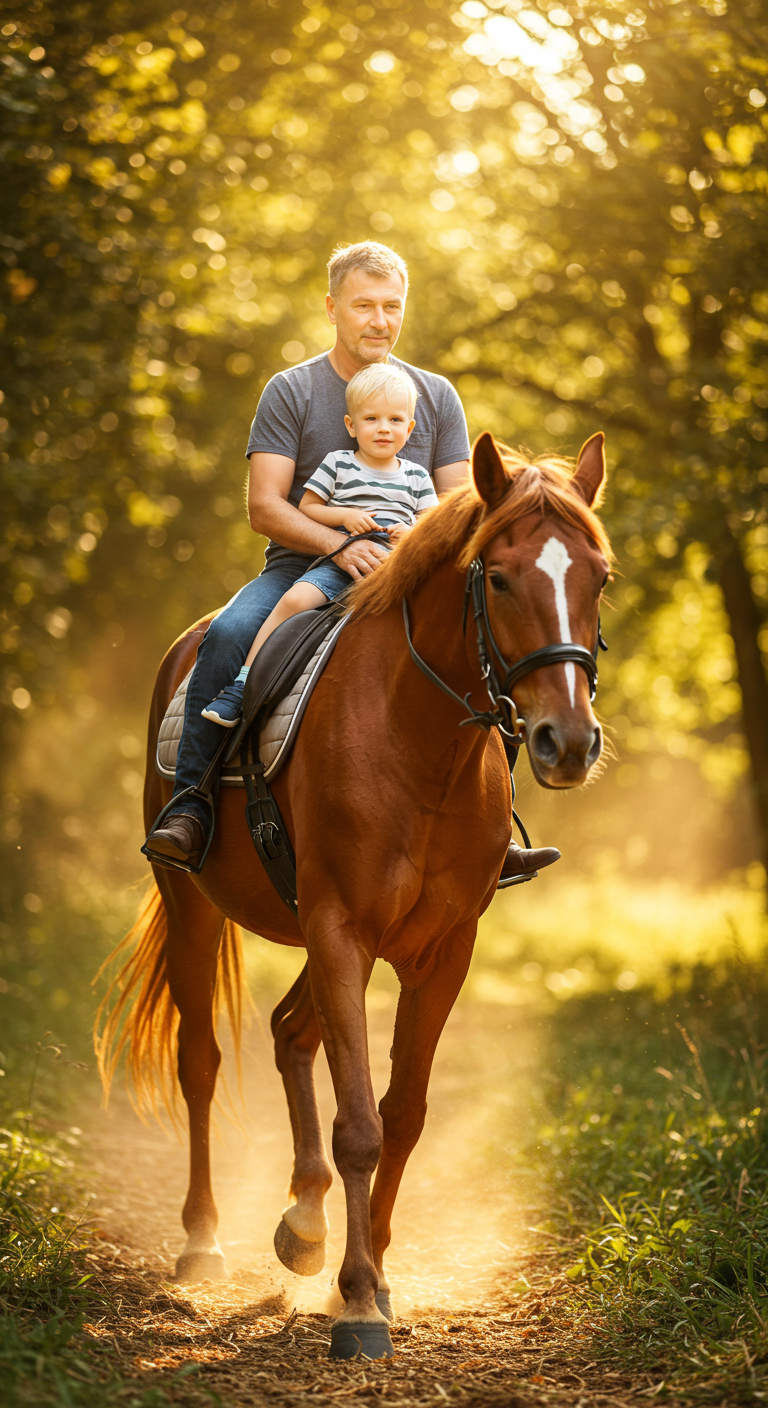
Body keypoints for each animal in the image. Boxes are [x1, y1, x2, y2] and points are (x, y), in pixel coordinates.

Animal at [96, 430, 612, 1360]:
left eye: (598, 576)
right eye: (500, 577)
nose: (569, 742)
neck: (421, 744)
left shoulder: (440, 950)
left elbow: (400, 1114)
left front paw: (367, 1277)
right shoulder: (342, 931)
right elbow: (360, 1125)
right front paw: (362, 1304)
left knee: (289, 1032)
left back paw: (304, 1224)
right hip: (196, 905)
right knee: (202, 1060)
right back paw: (202, 1242)